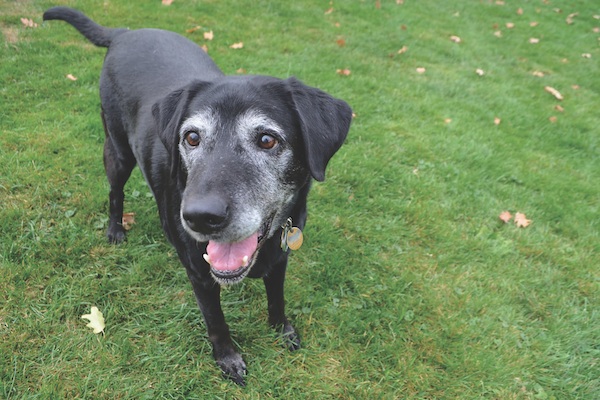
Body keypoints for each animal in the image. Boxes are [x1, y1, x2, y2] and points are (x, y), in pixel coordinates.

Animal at [44, 7, 354, 384]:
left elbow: (277, 298)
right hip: (117, 150)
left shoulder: (281, 256)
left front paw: (282, 330)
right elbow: (216, 322)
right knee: (115, 191)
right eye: (191, 137)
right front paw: (228, 358)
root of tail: (124, 33)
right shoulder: (200, 274)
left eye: (267, 139)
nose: (199, 217)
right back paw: (116, 229)